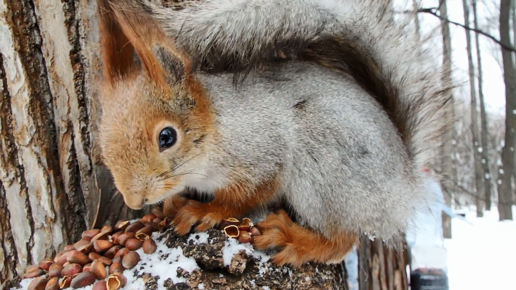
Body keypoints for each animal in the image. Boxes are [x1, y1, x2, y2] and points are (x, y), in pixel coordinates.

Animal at [95, 0, 452, 268]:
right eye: (103, 145)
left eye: (167, 137)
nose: (134, 200)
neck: (215, 127)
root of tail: (404, 185)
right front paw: (171, 204)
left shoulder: (263, 151)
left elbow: (245, 195)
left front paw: (205, 210)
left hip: (327, 168)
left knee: (342, 241)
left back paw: (296, 239)